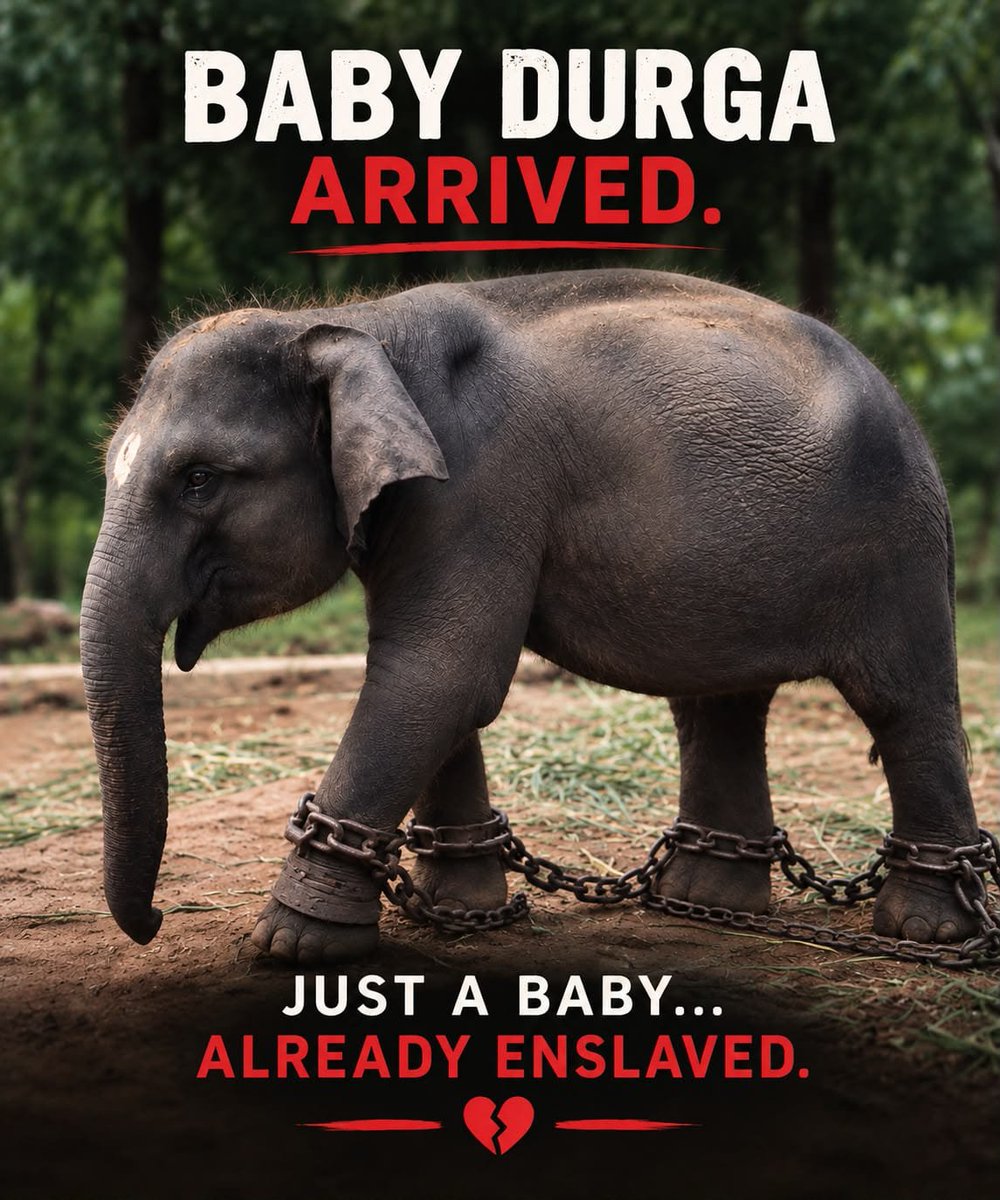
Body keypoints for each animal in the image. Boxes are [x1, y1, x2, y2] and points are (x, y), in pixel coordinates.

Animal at [80, 267, 982, 965]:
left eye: (200, 480)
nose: (152, 922)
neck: (354, 322)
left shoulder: (478, 485)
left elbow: (441, 672)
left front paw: (292, 945)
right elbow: (424, 676)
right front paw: (464, 911)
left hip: (896, 539)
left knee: (905, 704)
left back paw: (928, 931)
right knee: (721, 704)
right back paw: (708, 902)